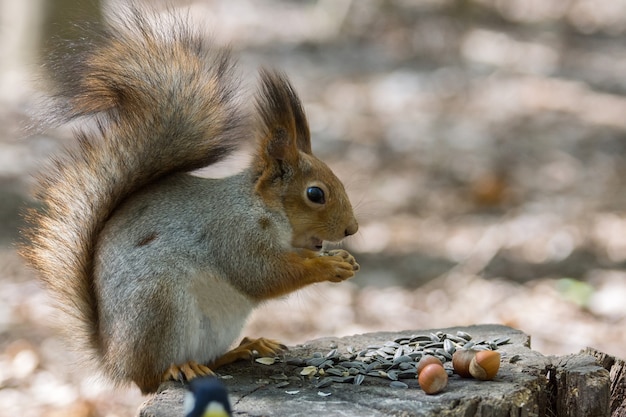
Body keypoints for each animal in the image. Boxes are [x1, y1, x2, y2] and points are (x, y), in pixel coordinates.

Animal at [22, 8, 358, 394]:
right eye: (315, 194)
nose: (352, 229)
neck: (264, 208)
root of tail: (114, 360)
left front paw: (341, 258)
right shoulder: (233, 233)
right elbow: (263, 274)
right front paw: (330, 266)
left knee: (208, 359)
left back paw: (244, 348)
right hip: (159, 306)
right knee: (151, 376)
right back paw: (178, 368)